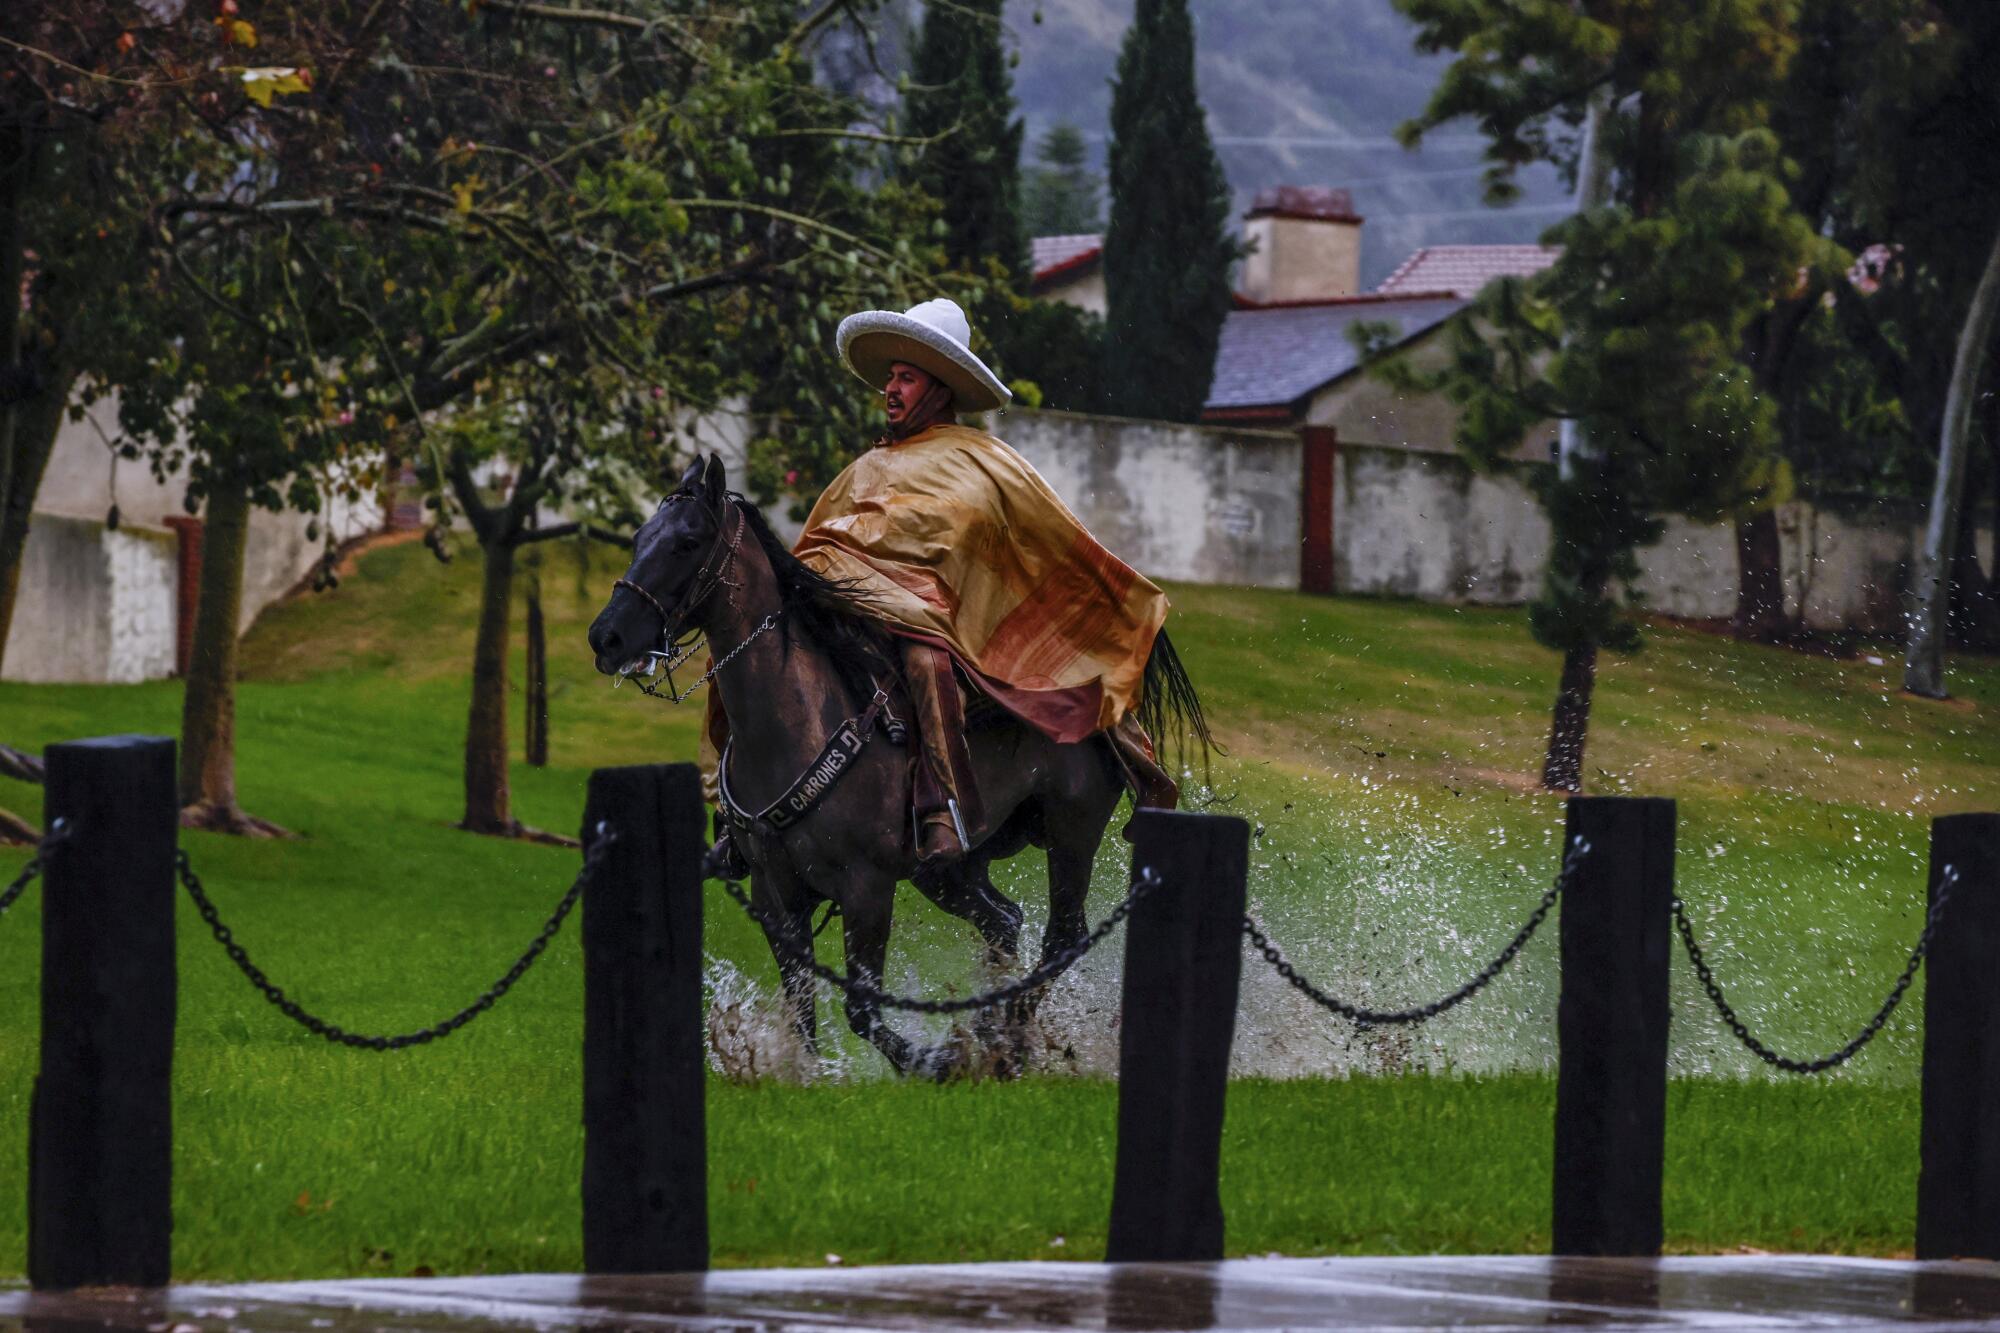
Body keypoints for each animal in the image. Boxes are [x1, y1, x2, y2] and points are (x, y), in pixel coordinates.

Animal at [580, 454, 1200, 1072]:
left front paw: (937, 1062)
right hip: (946, 868)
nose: (606, 637)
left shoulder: (866, 890)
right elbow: (801, 1011)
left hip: (1072, 832)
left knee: (1062, 937)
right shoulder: (776, 896)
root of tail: (1108, 706)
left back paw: (1010, 1041)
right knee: (1004, 922)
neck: (795, 726)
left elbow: (862, 1010)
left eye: (687, 542)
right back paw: (993, 1033)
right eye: (639, 538)